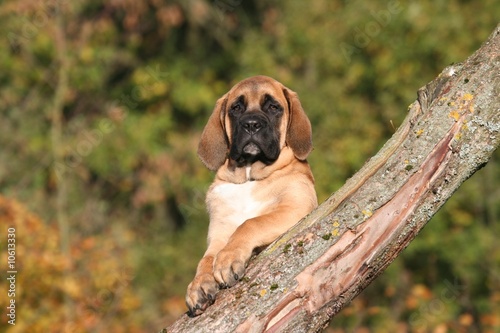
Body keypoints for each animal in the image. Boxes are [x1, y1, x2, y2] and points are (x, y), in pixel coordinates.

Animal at [186, 76, 318, 316]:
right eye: (236, 108)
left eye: (274, 107)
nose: (251, 124)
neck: (248, 177)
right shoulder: (219, 233)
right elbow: (206, 259)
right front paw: (198, 284)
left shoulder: (296, 207)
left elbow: (251, 223)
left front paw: (228, 258)